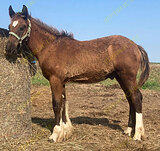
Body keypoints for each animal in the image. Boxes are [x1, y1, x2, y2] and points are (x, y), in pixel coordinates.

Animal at [5, 5, 149, 143]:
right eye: (9, 26)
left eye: (22, 27)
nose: (9, 48)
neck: (51, 47)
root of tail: (135, 45)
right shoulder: (62, 81)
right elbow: (64, 103)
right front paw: (65, 132)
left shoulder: (55, 80)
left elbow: (56, 104)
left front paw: (55, 135)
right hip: (121, 78)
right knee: (130, 99)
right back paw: (129, 130)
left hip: (127, 77)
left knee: (136, 98)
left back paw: (137, 135)